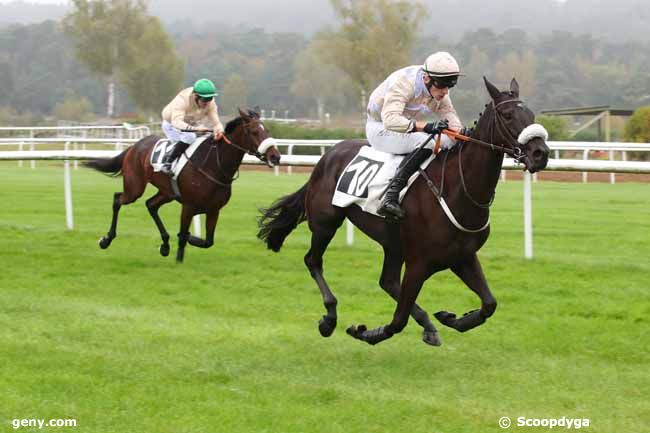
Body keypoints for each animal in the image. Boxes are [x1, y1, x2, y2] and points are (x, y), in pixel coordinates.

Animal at [85, 108, 278, 264]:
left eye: (267, 130)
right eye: (254, 131)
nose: (275, 156)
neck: (213, 165)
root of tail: (134, 146)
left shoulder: (214, 210)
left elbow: (208, 241)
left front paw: (189, 239)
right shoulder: (189, 206)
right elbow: (184, 235)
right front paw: (179, 259)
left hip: (167, 193)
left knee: (151, 205)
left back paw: (164, 245)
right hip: (134, 187)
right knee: (118, 199)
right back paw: (106, 239)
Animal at [256, 77, 548, 346]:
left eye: (532, 114)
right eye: (508, 115)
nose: (540, 153)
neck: (457, 189)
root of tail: (328, 155)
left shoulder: (462, 257)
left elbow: (489, 304)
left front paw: (451, 318)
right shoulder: (419, 262)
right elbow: (398, 321)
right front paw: (366, 332)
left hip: (392, 241)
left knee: (387, 281)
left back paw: (428, 324)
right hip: (326, 222)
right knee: (313, 261)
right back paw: (329, 318)